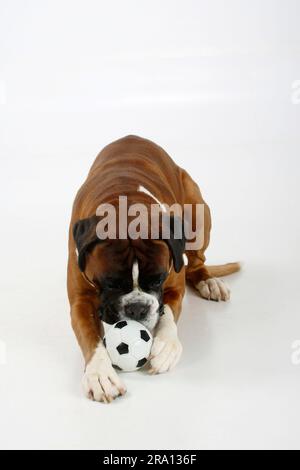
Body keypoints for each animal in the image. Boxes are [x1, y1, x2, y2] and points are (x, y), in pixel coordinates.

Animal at [67, 136, 239, 404]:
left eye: (158, 280)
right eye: (111, 283)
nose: (137, 308)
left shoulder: (174, 287)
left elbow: (167, 312)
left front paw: (167, 345)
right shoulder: (80, 301)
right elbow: (90, 337)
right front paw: (100, 373)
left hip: (198, 212)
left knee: (196, 264)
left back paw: (208, 281)